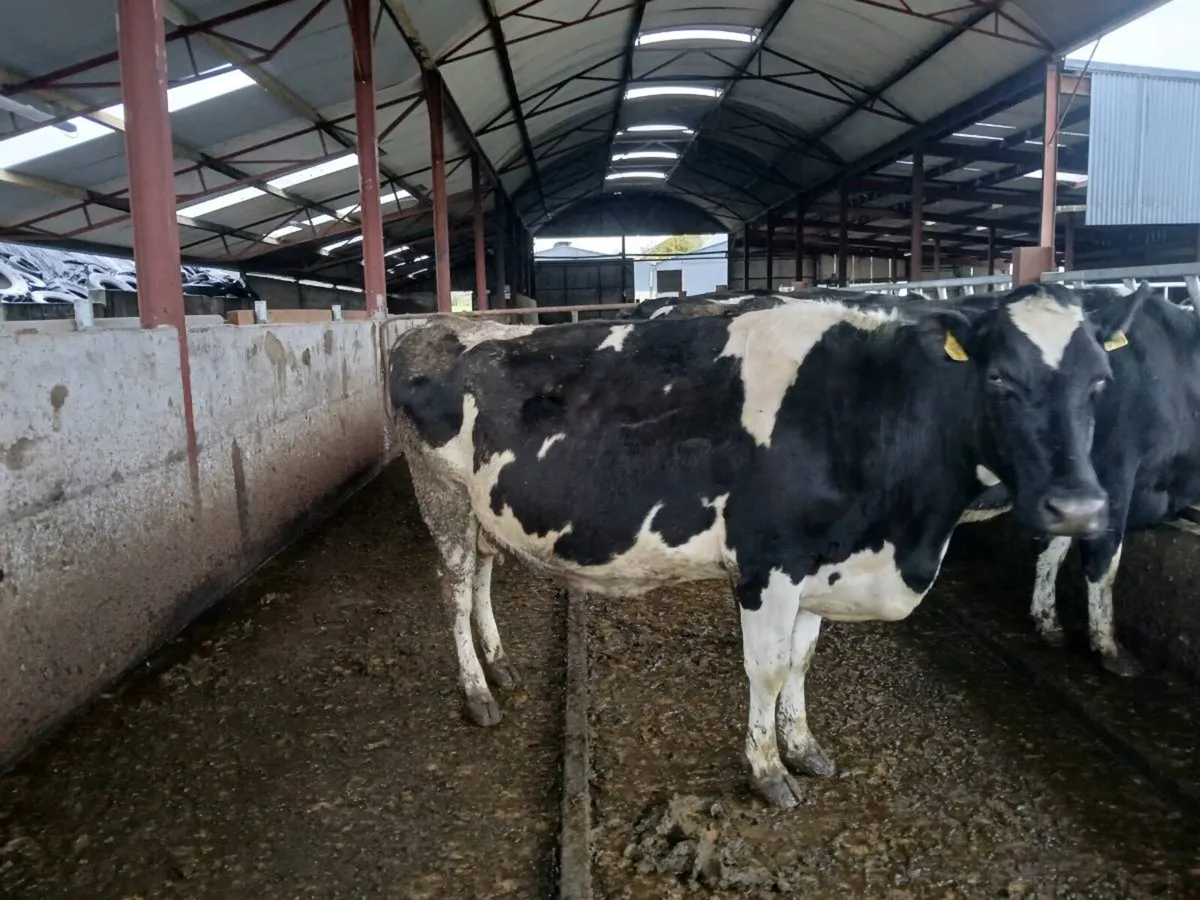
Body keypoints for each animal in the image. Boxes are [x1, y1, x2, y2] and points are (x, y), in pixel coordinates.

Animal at [387, 284, 1135, 808]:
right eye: (999, 378)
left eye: (1100, 381)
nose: (1079, 507)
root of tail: (443, 327)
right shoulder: (768, 563)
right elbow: (769, 669)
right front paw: (767, 770)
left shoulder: (819, 566)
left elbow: (802, 663)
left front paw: (803, 746)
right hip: (441, 496)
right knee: (454, 591)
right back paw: (477, 692)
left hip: (484, 510)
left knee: (483, 578)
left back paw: (501, 665)